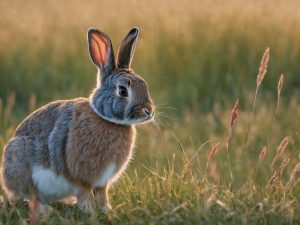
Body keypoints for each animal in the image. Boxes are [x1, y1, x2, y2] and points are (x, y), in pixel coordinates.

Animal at [0, 26, 155, 221]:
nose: (149, 111)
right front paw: (89, 212)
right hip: (22, 163)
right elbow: (85, 194)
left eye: (144, 85)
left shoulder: (102, 182)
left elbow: (102, 195)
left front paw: (107, 210)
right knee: (31, 197)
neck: (108, 120)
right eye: (122, 91)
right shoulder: (82, 178)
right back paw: (47, 210)